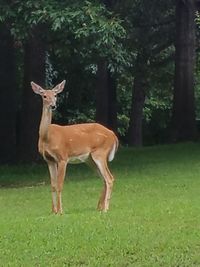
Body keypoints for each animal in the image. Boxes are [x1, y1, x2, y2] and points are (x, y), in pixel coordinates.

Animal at [30, 80, 119, 215]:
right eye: (44, 96)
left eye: (55, 95)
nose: (53, 105)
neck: (47, 137)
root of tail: (113, 135)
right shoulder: (49, 160)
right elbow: (53, 185)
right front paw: (53, 211)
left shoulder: (62, 157)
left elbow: (60, 184)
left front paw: (60, 211)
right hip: (89, 159)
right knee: (104, 178)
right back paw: (99, 207)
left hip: (100, 152)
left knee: (109, 178)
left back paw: (105, 208)